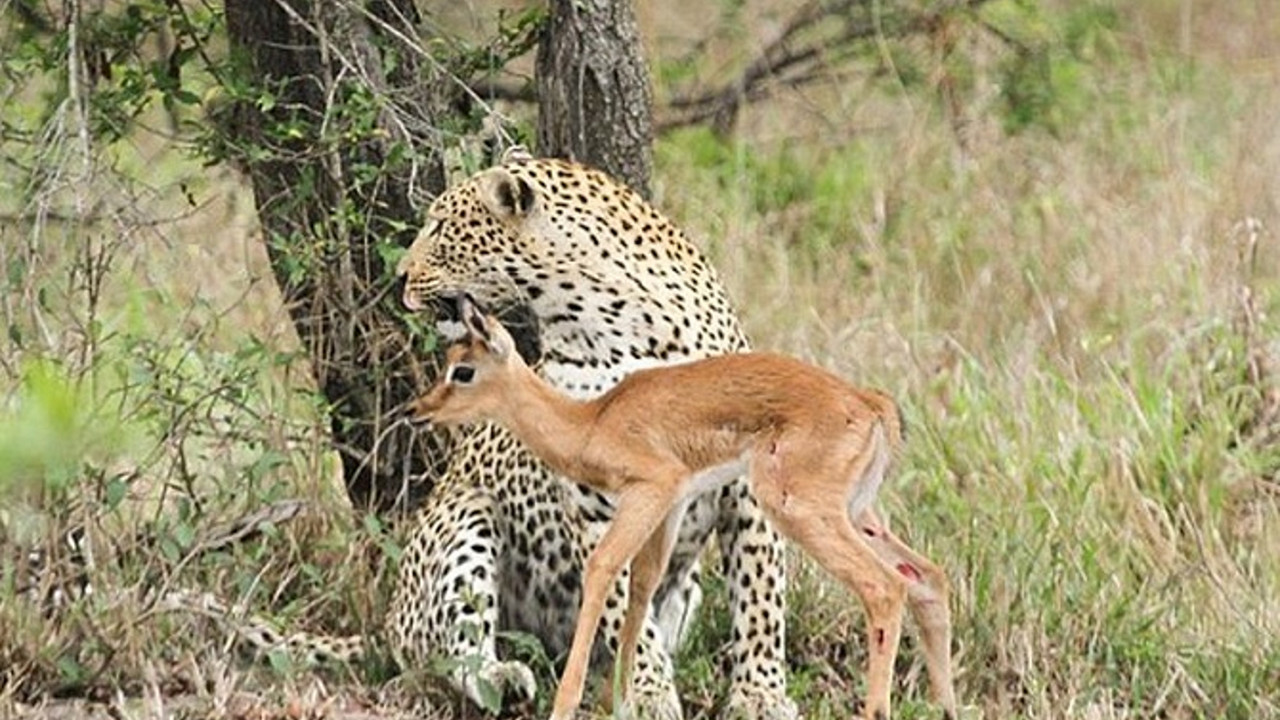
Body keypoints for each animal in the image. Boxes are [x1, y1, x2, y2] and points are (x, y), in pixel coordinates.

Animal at [388, 150, 797, 720]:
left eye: (441, 226)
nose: (399, 275)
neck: (601, 316)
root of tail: (387, 619)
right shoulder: (598, 502)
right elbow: (625, 606)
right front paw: (649, 694)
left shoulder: (747, 484)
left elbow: (760, 595)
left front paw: (760, 693)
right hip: (465, 512)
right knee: (450, 650)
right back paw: (507, 677)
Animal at [409, 295, 957, 720]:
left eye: (463, 369)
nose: (418, 409)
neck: (591, 422)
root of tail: (870, 404)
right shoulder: (671, 507)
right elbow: (642, 588)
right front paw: (621, 702)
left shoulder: (650, 488)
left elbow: (602, 568)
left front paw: (569, 704)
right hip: (857, 512)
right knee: (927, 577)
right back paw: (945, 705)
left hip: (800, 509)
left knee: (883, 588)